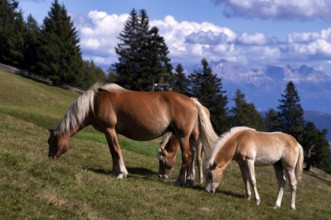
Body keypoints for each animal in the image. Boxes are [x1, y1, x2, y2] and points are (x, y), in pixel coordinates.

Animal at [46, 82, 218, 186]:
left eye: (50, 142)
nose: (50, 158)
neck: (93, 103)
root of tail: (193, 101)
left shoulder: (109, 129)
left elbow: (116, 150)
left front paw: (121, 173)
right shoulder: (110, 131)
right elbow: (113, 151)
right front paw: (115, 171)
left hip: (183, 136)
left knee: (188, 157)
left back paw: (180, 180)